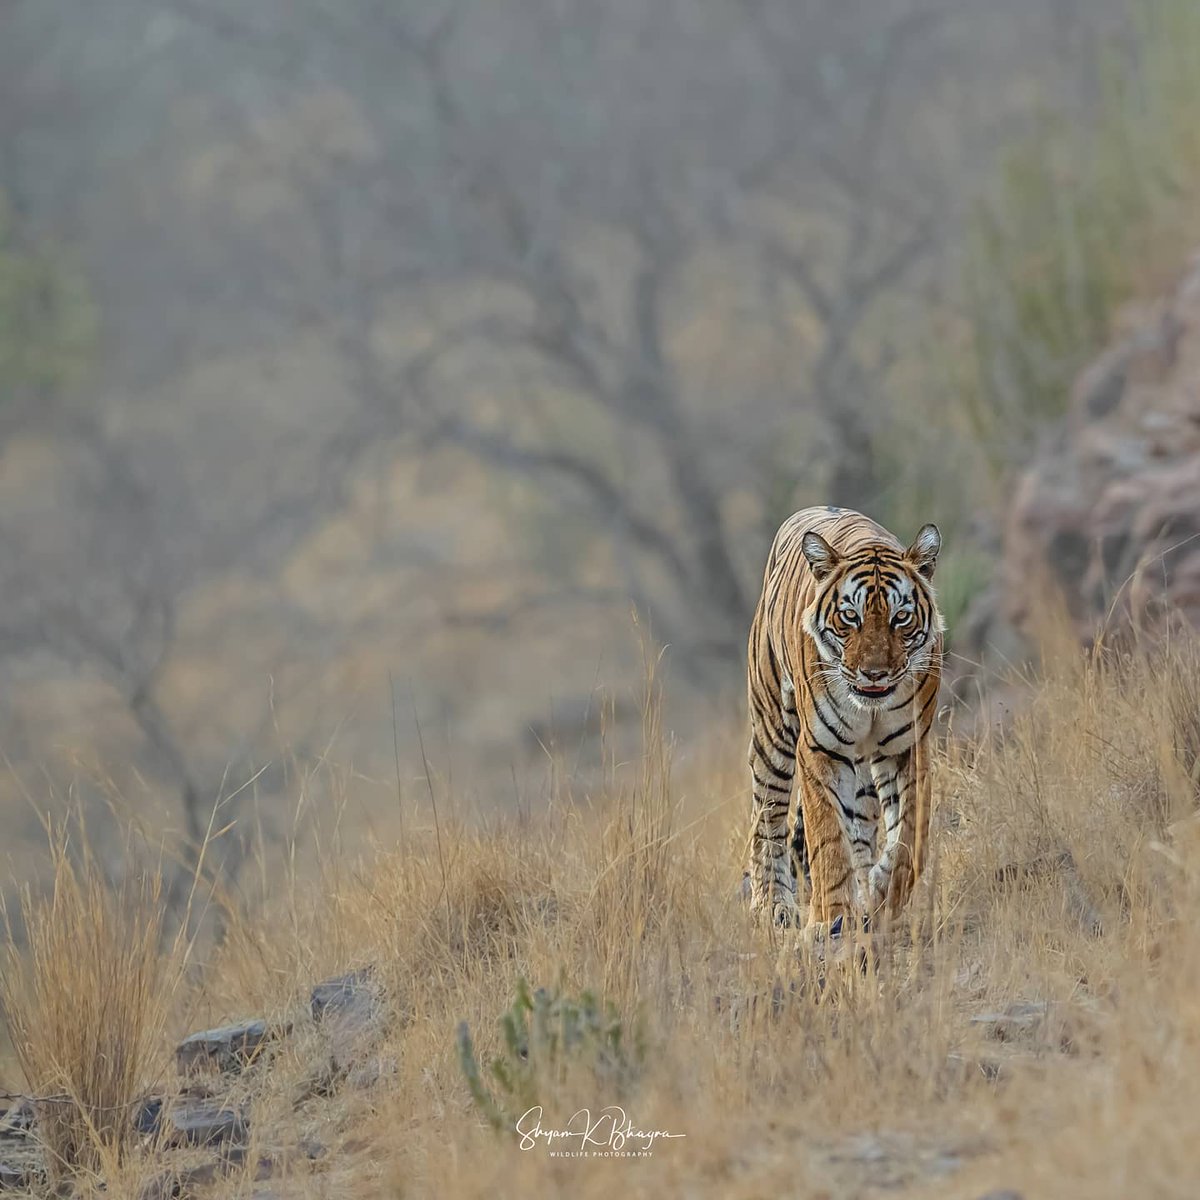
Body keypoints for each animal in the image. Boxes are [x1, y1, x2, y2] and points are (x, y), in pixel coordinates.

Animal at [746, 506, 944, 937]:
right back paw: (773, 907)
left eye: (901, 618)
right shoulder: (821, 750)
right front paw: (830, 919)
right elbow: (827, 841)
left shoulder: (909, 746)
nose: (874, 674)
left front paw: (882, 893)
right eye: (850, 617)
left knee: (861, 826)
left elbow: (911, 835)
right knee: (767, 820)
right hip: (773, 730)